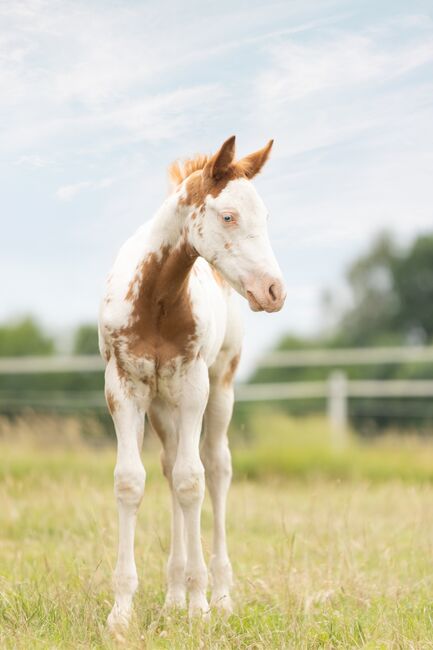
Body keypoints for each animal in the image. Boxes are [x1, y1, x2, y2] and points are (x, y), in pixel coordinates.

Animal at [99, 135, 286, 628]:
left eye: (266, 216)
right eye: (229, 216)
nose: (274, 291)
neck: (156, 300)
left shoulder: (193, 385)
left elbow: (192, 481)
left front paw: (200, 605)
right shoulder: (122, 386)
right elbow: (132, 480)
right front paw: (121, 611)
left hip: (219, 388)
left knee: (216, 468)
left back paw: (217, 593)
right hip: (162, 405)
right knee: (168, 467)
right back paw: (172, 594)